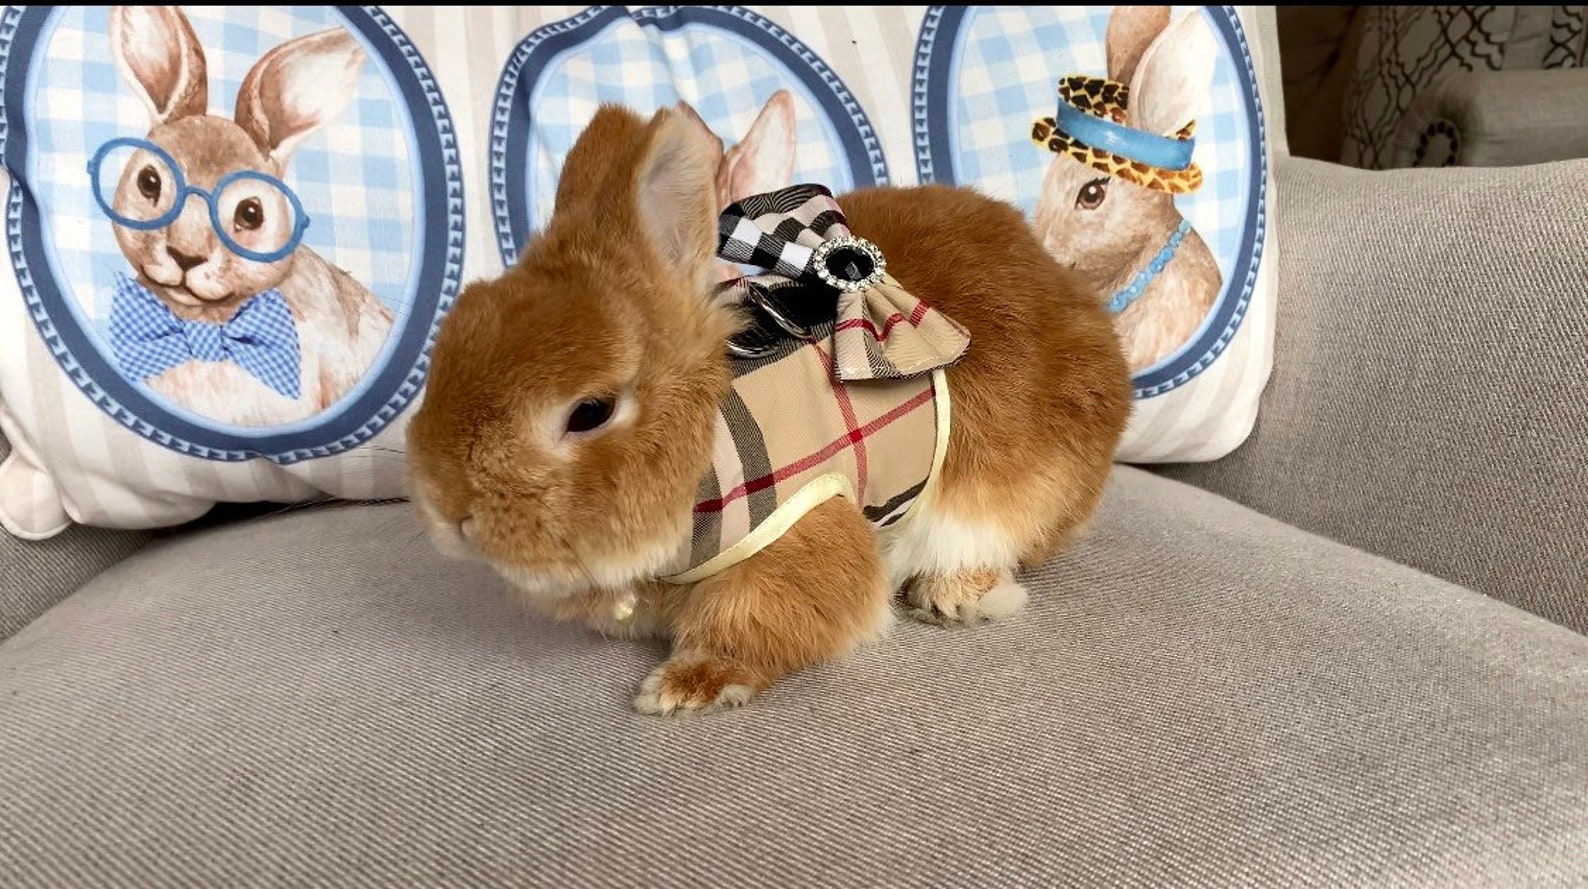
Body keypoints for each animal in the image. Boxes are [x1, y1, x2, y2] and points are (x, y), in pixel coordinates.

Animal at [405, 102, 1132, 715]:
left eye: (590, 410)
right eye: (453, 339)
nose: (446, 510)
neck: (707, 441)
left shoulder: (800, 528)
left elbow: (760, 622)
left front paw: (685, 687)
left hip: (1010, 490)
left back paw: (952, 595)